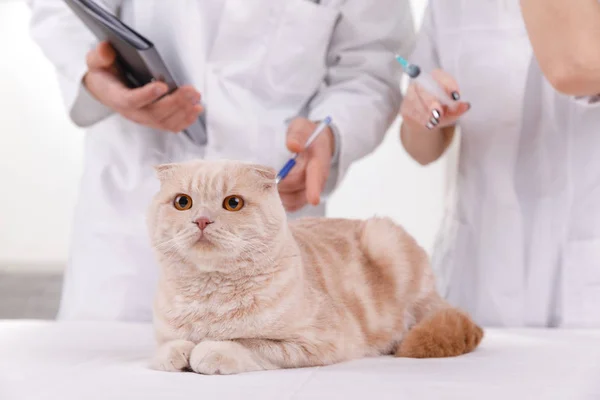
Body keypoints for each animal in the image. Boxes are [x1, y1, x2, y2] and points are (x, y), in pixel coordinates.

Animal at [146, 159, 482, 376]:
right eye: (183, 202)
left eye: (233, 203)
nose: (202, 220)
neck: (210, 294)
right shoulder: (164, 335)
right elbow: (166, 349)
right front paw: (177, 352)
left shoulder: (317, 342)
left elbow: (247, 344)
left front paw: (208, 351)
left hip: (385, 239)